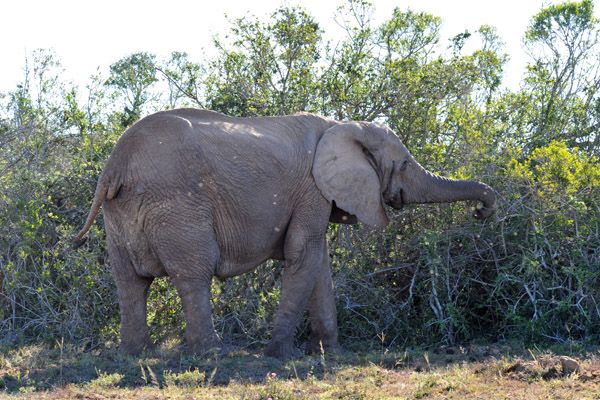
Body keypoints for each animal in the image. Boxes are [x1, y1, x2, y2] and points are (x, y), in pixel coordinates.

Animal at [74, 108, 496, 358]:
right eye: (405, 163)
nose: (483, 211)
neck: (341, 126)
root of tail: (113, 165)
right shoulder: (311, 188)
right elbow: (303, 255)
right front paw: (279, 355)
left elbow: (319, 263)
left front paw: (327, 354)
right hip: (177, 204)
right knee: (194, 274)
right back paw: (214, 354)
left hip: (121, 211)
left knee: (129, 281)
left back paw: (137, 355)